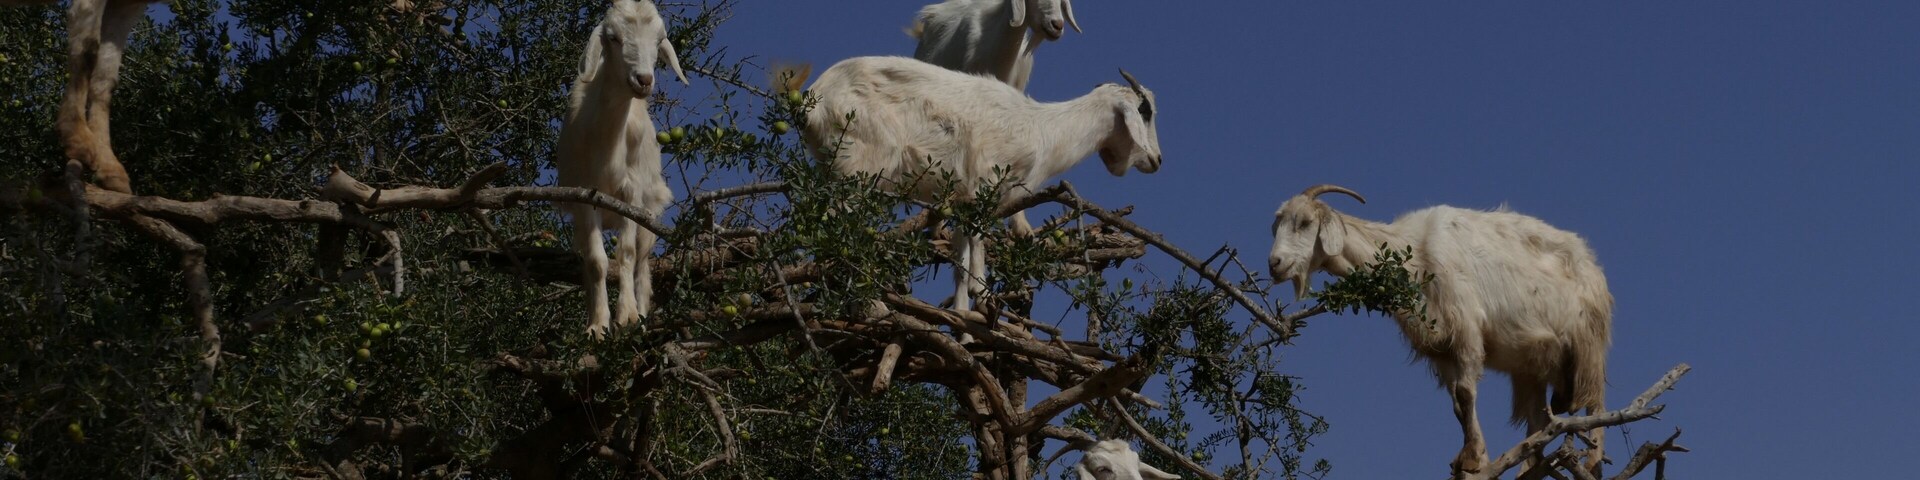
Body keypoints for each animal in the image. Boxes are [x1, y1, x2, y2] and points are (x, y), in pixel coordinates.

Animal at [556, 0, 686, 336]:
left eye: (658, 40)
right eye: (613, 38)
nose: (644, 80)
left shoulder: (632, 195)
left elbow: (626, 254)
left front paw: (626, 316)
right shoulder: (585, 197)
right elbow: (596, 262)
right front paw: (597, 326)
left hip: (651, 215)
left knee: (642, 266)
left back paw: (641, 315)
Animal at [787, 56, 1161, 313]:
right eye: (1145, 110)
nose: (1157, 160)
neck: (1042, 129)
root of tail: (814, 102)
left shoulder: (964, 200)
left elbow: (961, 260)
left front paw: (965, 318)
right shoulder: (985, 183)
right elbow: (978, 248)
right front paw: (982, 298)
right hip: (859, 168)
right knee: (841, 227)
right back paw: (867, 303)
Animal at [1267, 184, 1612, 477]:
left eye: (1305, 222)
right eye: (1277, 225)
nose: (1275, 263)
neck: (1413, 256)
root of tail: (1593, 265)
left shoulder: (1466, 328)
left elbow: (1466, 392)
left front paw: (1472, 460)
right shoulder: (1440, 348)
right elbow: (1458, 405)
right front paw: (1473, 458)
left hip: (1587, 345)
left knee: (1596, 402)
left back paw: (1592, 461)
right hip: (1532, 367)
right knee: (1538, 420)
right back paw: (1527, 470)